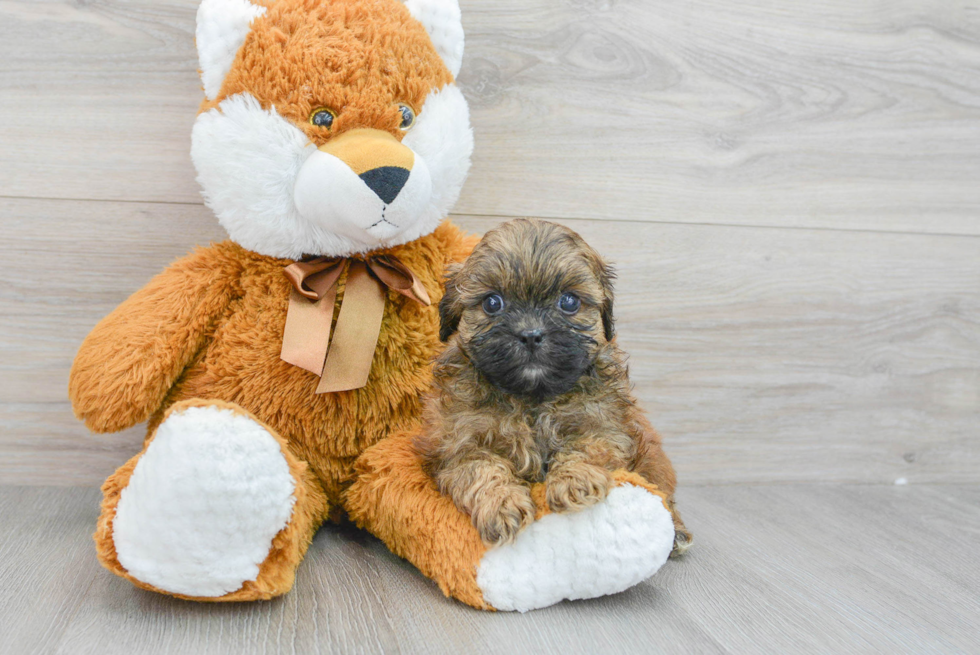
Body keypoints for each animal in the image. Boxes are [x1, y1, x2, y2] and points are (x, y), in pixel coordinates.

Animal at [416, 218, 688, 552]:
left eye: (569, 301)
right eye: (492, 303)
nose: (531, 335)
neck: (533, 398)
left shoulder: (604, 429)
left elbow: (584, 449)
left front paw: (574, 481)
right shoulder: (457, 446)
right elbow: (481, 469)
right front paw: (502, 504)